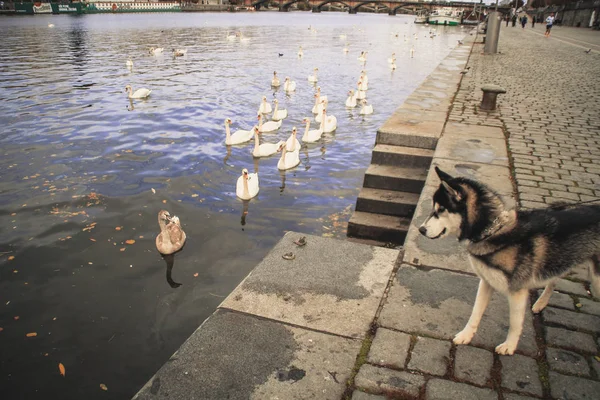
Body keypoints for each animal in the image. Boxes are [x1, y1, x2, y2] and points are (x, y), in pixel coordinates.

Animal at [418, 167, 600, 354]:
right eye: (434, 209)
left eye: (441, 210)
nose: (421, 229)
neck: (493, 231)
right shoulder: (486, 281)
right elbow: (476, 312)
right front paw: (465, 335)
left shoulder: (517, 291)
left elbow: (514, 323)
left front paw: (509, 346)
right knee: (554, 279)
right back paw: (540, 303)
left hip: (596, 278)